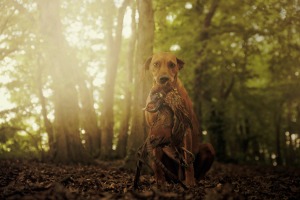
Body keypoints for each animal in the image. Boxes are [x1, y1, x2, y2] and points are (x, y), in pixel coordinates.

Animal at [144, 52, 216, 187]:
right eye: (156, 64)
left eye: (172, 64)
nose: (164, 79)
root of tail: (178, 177)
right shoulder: (153, 131)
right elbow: (156, 162)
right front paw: (160, 181)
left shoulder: (185, 129)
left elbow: (188, 160)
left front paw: (190, 182)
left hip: (208, 147)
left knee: (198, 171)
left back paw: (196, 180)